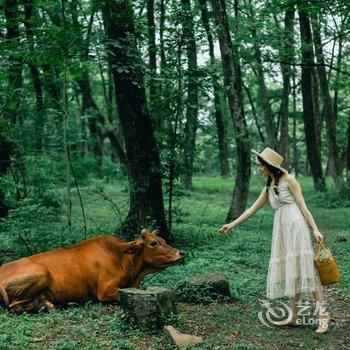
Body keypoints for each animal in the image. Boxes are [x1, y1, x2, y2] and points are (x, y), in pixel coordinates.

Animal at [0, 228, 185, 314]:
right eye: (153, 243)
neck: (121, 259)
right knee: (15, 306)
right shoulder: (105, 292)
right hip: (41, 274)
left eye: (163, 240)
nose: (180, 253)